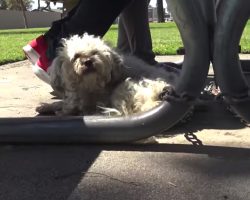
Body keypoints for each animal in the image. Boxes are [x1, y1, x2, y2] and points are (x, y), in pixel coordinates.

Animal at [36, 33, 179, 116]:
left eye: (94, 53)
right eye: (76, 56)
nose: (88, 61)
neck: (90, 85)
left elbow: (71, 105)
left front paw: (62, 109)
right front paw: (48, 106)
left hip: (125, 88)